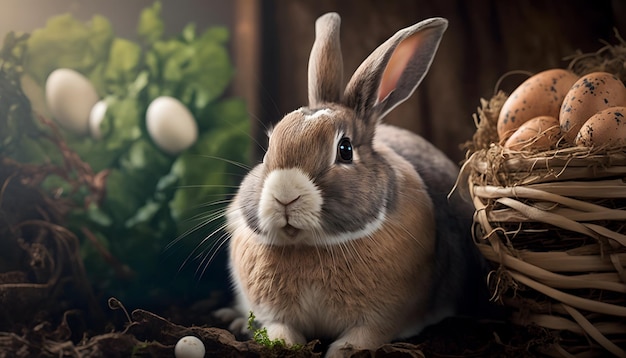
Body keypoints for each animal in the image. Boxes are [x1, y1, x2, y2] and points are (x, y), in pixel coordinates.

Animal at [219, 11, 488, 358]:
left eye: (345, 149)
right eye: (268, 147)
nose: (285, 197)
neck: (312, 246)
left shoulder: (382, 319)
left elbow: (361, 338)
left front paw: (341, 351)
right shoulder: (273, 313)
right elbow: (280, 329)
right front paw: (280, 343)